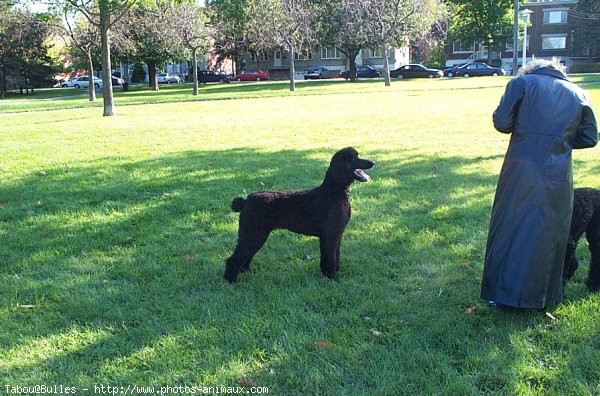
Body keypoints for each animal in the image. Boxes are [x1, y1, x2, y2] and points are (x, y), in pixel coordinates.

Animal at [225, 148, 376, 282]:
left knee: (246, 255)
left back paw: (245, 272)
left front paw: (334, 272)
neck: (334, 190)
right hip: (253, 232)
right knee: (235, 258)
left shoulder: (337, 234)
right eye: (352, 159)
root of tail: (246, 200)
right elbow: (329, 256)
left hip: (256, 234)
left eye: (357, 155)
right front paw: (331, 277)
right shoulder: (329, 235)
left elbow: (335, 255)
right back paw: (230, 280)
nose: (372, 162)